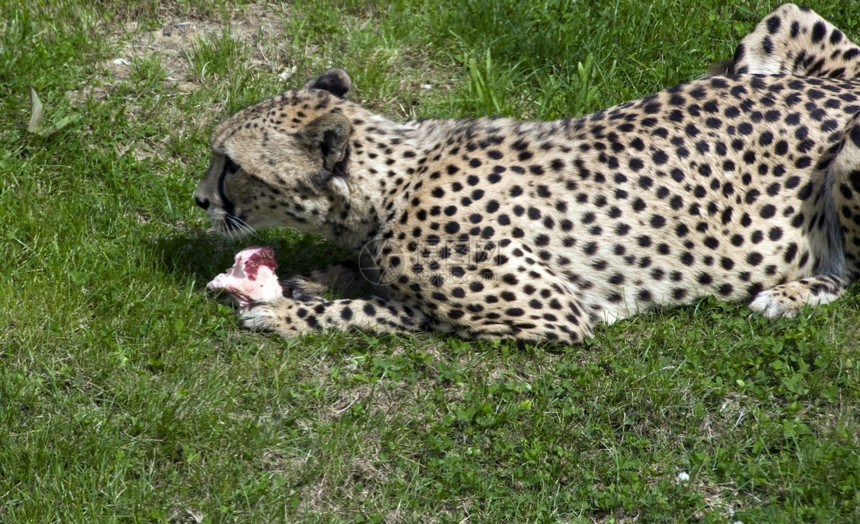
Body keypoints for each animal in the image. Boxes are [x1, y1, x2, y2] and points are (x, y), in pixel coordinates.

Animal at [193, 5, 860, 348]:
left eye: (232, 165)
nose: (199, 199)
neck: (393, 184)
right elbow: (361, 274)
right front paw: (318, 279)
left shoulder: (550, 315)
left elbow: (386, 310)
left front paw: (287, 314)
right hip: (774, 29)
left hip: (849, 155)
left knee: (850, 273)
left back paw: (789, 294)